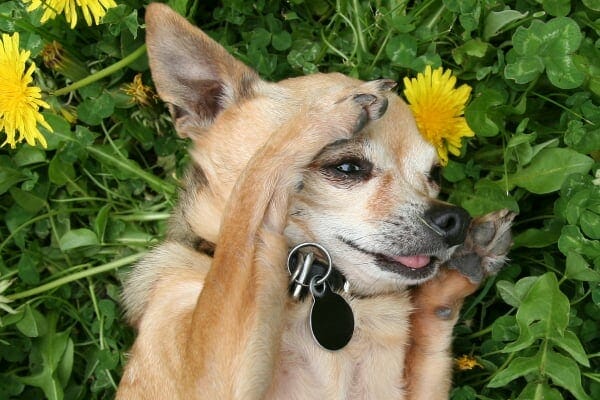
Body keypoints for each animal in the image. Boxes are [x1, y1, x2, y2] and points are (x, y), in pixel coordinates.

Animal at [117, 3, 516, 400]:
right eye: (347, 166)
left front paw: (460, 267)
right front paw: (321, 115)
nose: (454, 220)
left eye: (434, 174)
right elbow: (249, 200)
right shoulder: (203, 384)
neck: (315, 290)